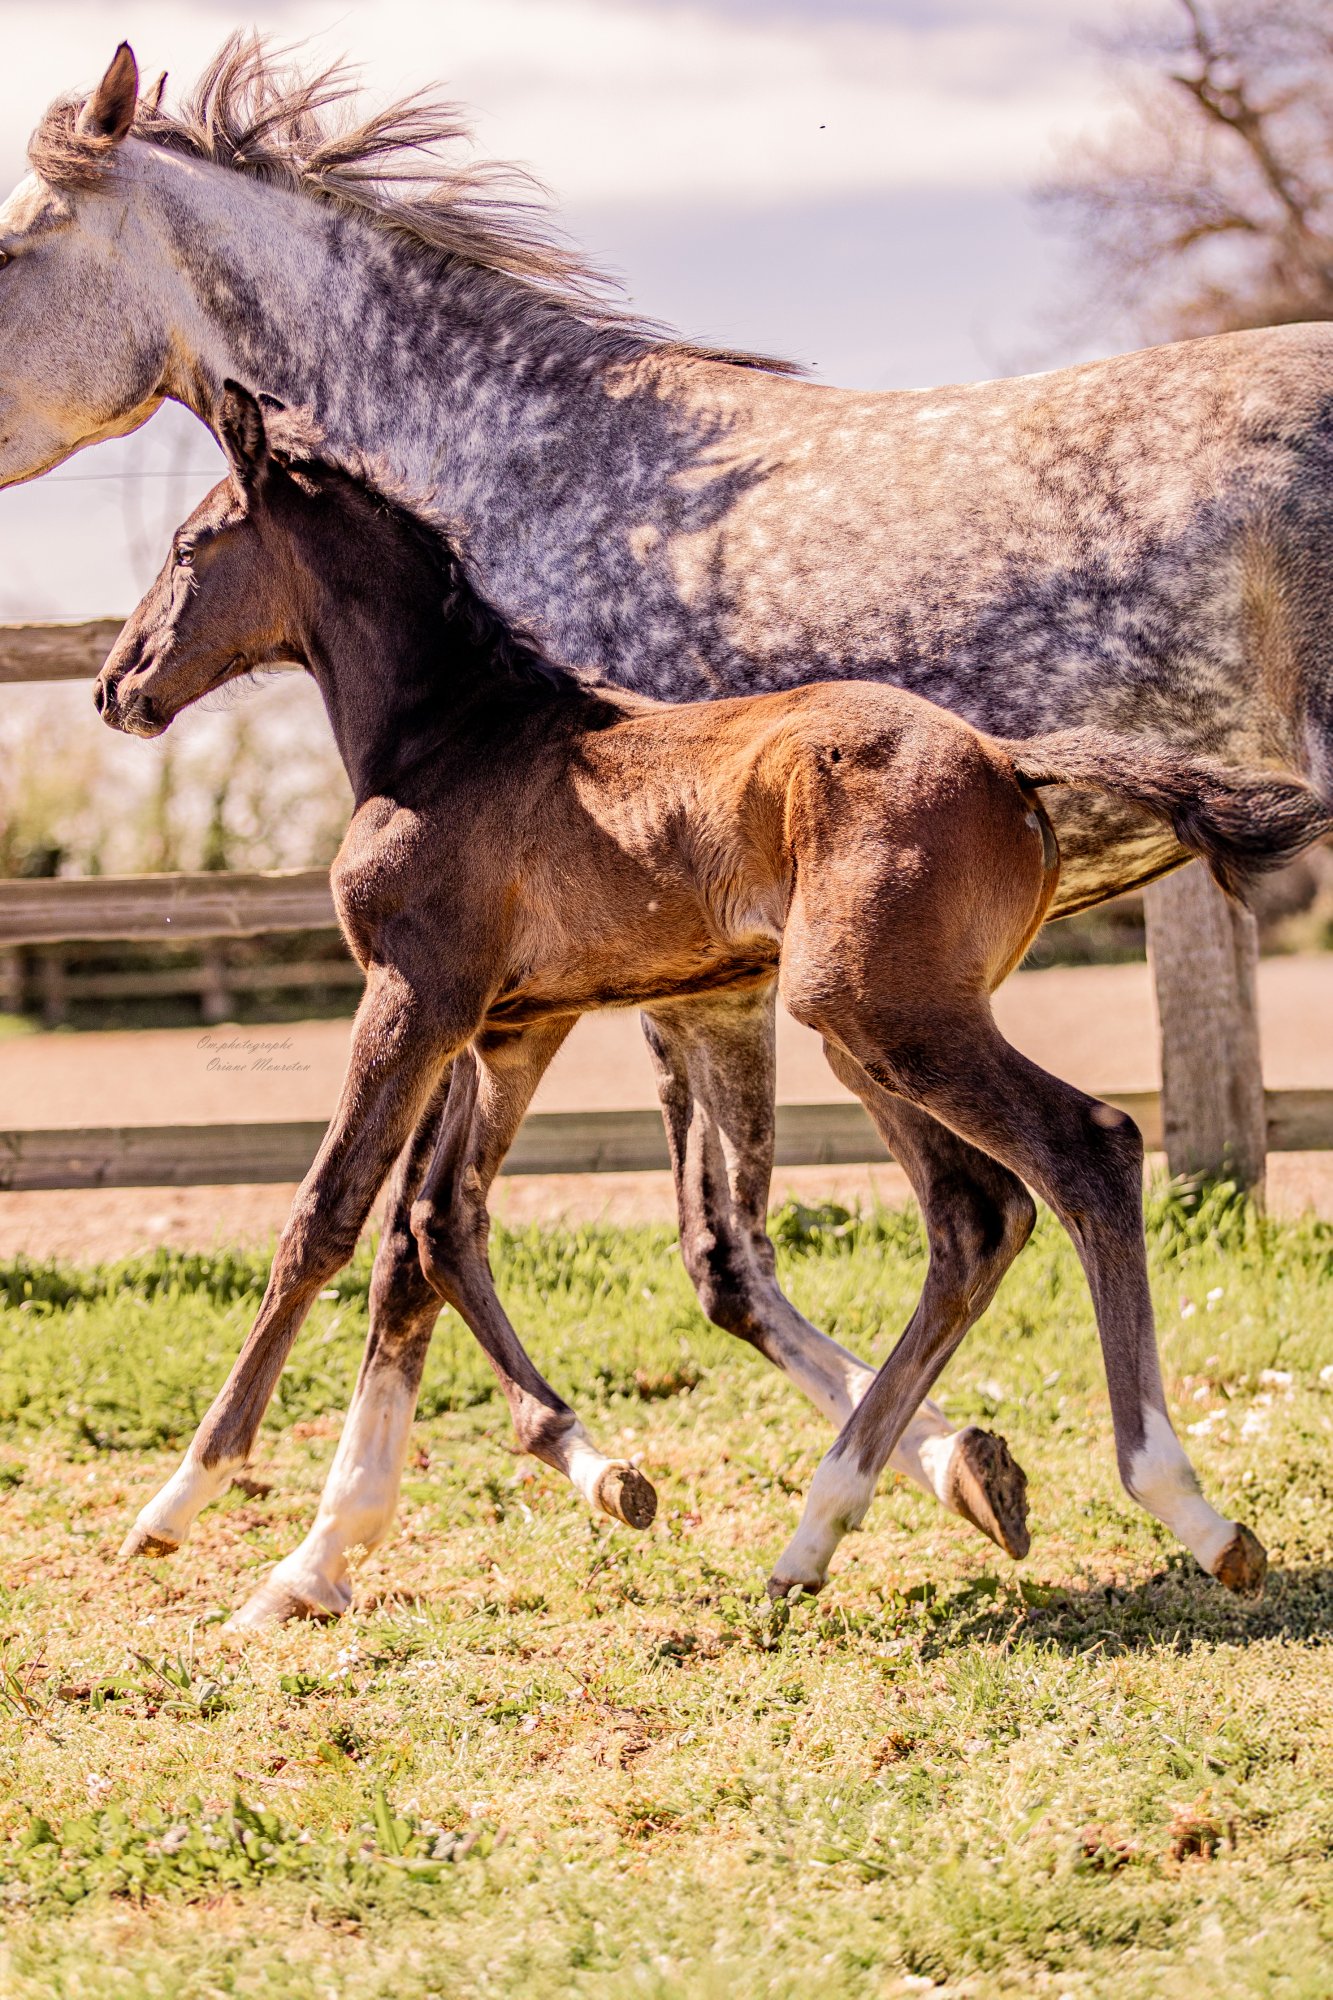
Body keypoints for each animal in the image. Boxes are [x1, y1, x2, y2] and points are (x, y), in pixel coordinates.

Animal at [7, 41, 1333, 1625]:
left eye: (11, 246)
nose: (113, 686)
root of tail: (1007, 760)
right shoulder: (582, 1007)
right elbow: (520, 1238)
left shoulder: (453, 994)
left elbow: (368, 1223)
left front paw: (244, 1522)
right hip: (863, 1007)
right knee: (979, 1208)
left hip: (872, 1002)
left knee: (1073, 1159)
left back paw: (1170, 1503)